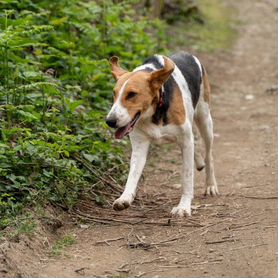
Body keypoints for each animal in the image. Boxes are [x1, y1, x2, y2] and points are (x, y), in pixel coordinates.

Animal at [105, 52, 218, 217]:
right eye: (114, 94)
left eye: (132, 94)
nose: (110, 121)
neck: (155, 110)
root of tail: (187, 53)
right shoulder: (139, 146)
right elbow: (132, 175)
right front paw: (125, 198)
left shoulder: (185, 141)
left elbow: (187, 177)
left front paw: (184, 206)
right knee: (196, 144)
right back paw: (199, 162)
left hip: (205, 120)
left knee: (209, 155)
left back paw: (210, 185)